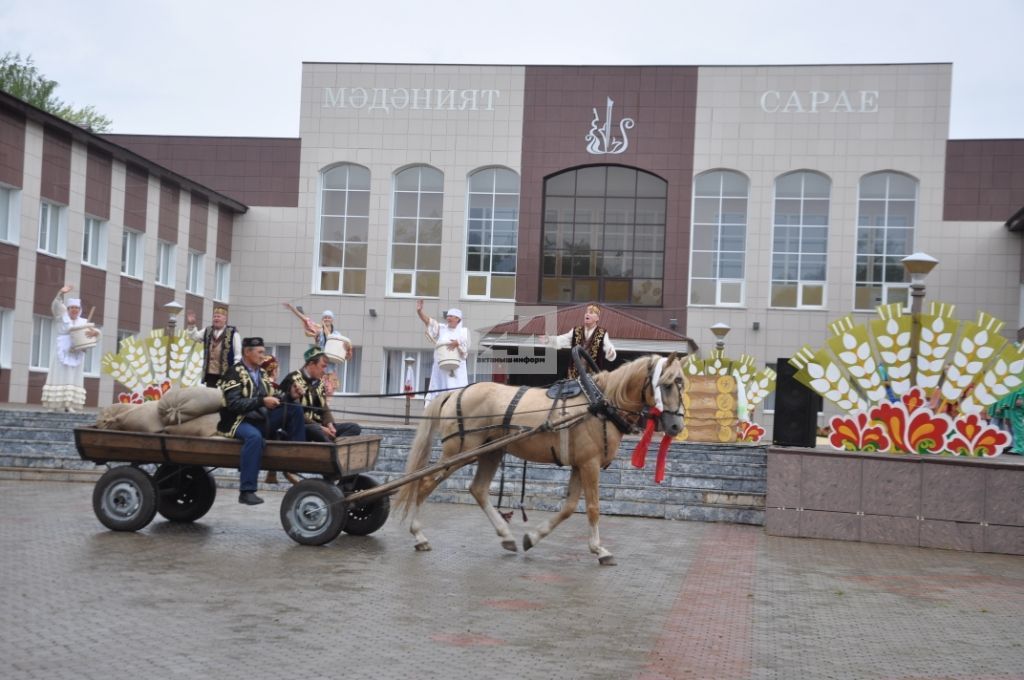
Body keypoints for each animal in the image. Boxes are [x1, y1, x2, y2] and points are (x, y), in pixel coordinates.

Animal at [395, 352, 684, 565]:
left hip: (491, 452)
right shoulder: (590, 464)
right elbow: (593, 508)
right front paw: (601, 550)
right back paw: (419, 535)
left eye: (681, 383)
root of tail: (456, 392)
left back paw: (507, 536)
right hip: (458, 453)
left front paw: (532, 537)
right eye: (667, 384)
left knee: (478, 489)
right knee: (425, 483)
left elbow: (568, 508)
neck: (599, 405)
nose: (676, 427)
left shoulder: (579, 465)